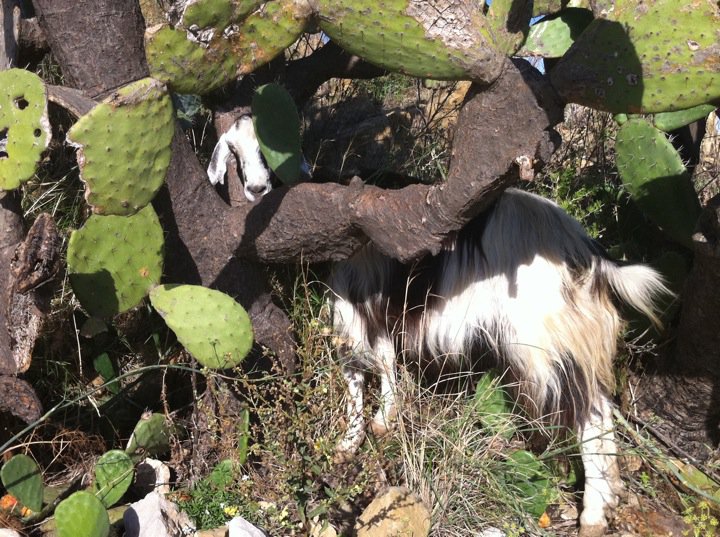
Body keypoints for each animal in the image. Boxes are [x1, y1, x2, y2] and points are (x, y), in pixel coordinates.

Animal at [329, 188, 668, 537]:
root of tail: (586, 251)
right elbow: (373, 371)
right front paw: (364, 433)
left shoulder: (358, 310)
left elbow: (366, 371)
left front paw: (360, 435)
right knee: (602, 411)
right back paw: (609, 494)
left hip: (545, 350)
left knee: (589, 417)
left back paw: (593, 514)